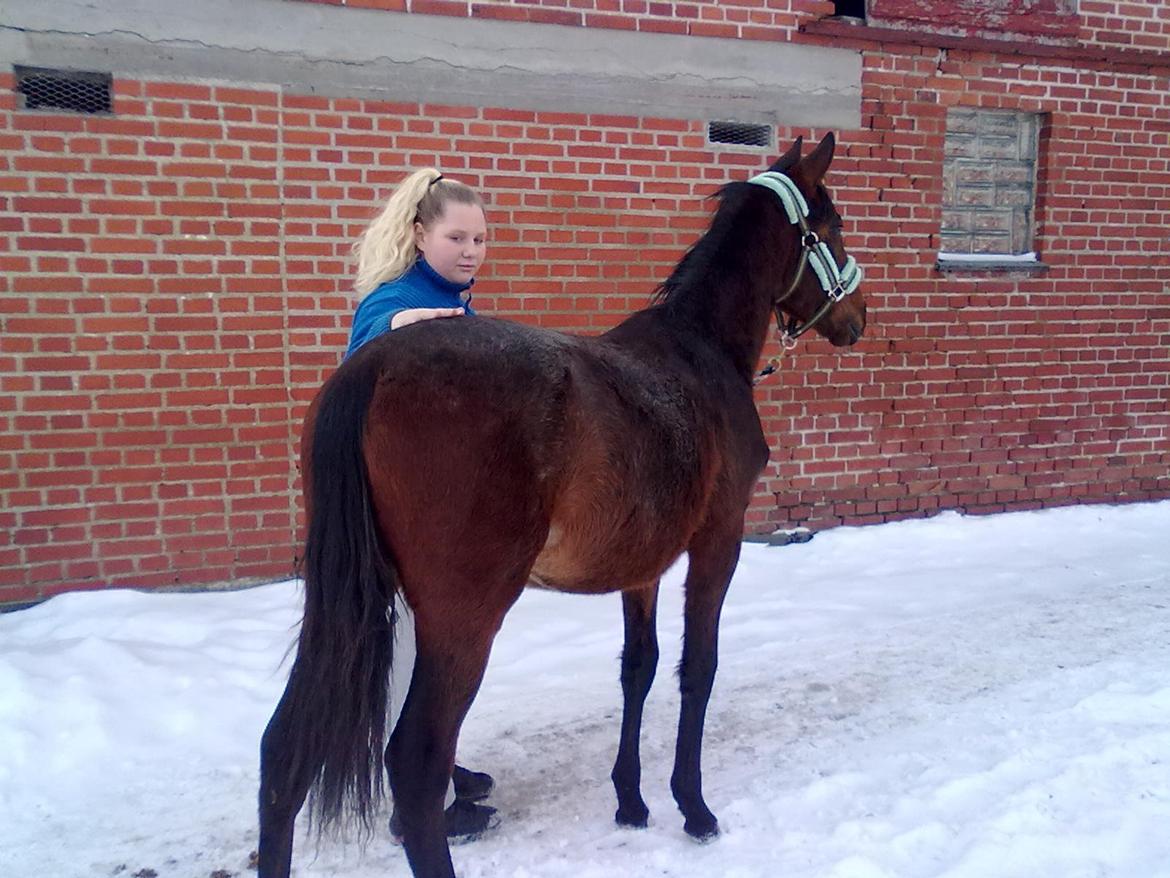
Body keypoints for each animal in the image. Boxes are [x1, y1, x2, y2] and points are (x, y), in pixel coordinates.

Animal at [263, 132, 870, 878]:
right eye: (832, 227)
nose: (857, 316)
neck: (699, 350)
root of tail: (370, 370)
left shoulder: (641, 565)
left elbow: (638, 668)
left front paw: (631, 800)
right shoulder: (718, 541)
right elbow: (697, 668)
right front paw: (692, 808)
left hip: (346, 606)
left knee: (284, 753)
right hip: (464, 616)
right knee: (415, 763)